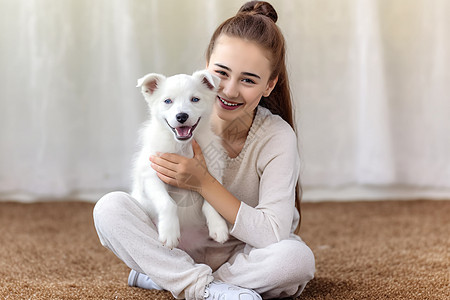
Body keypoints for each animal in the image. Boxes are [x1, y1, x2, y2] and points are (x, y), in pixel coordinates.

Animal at [130, 69, 229, 248]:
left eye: (195, 99)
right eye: (167, 101)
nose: (181, 116)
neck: (183, 147)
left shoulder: (212, 174)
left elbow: (211, 203)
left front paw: (218, 226)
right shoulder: (151, 175)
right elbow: (167, 202)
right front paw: (169, 232)